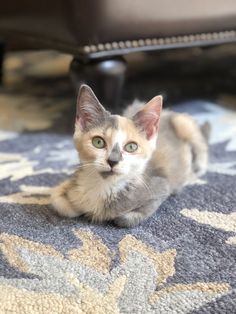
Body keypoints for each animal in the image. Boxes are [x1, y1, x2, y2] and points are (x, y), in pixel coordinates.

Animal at [50, 84, 208, 227]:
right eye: (98, 142)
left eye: (131, 147)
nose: (113, 160)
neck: (105, 186)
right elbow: (57, 200)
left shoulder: (160, 187)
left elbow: (125, 219)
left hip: (182, 122)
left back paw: (197, 169)